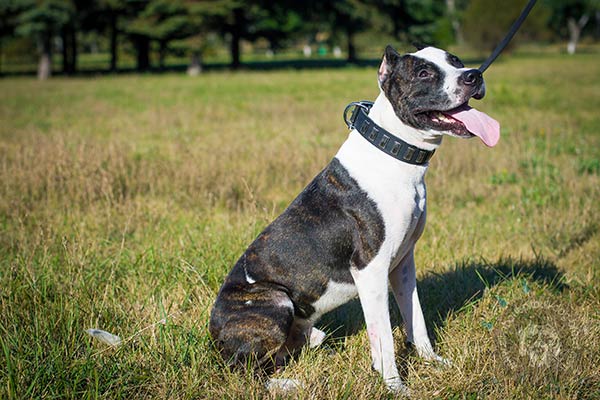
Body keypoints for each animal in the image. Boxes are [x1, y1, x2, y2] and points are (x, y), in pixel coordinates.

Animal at [209, 43, 500, 390]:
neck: (394, 151)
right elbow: (384, 337)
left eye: (455, 61)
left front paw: (433, 362)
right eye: (423, 73)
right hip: (275, 300)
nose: (473, 75)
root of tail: (213, 335)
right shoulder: (370, 269)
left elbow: (416, 318)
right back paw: (288, 385)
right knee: (245, 372)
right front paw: (395, 387)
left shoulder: (403, 264)